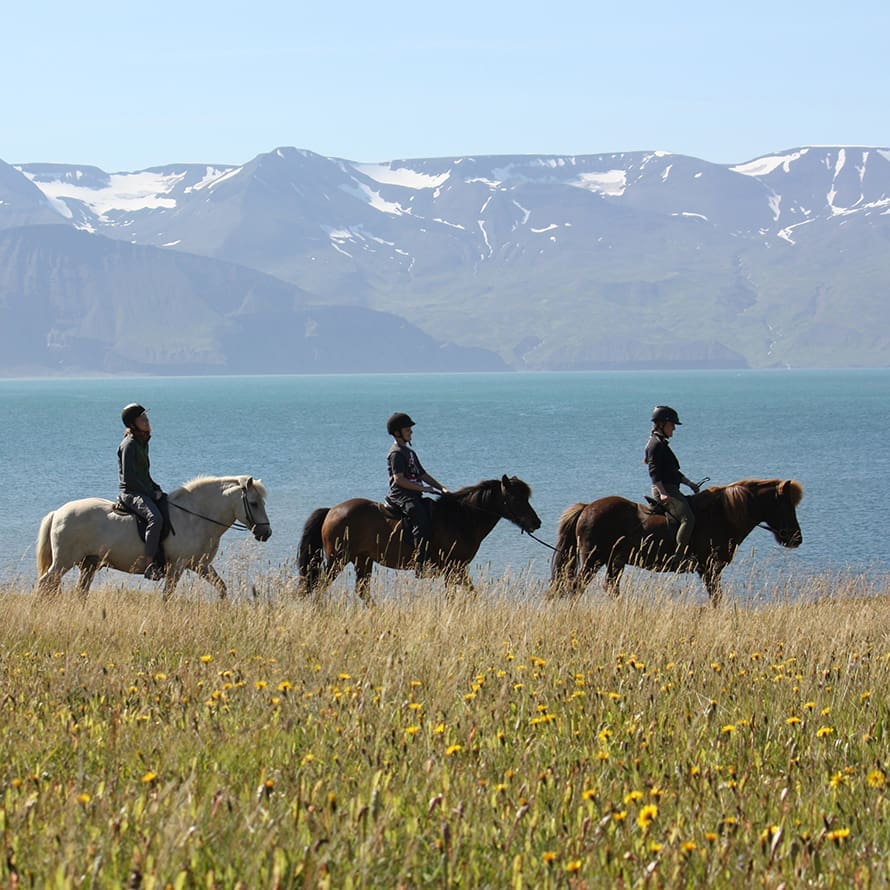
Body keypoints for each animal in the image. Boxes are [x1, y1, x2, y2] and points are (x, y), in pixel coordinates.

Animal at [35, 476, 272, 601]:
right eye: (253, 503)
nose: (266, 533)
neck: (194, 517)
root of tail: (57, 512)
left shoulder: (201, 565)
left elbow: (222, 588)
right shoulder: (177, 566)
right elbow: (167, 595)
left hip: (88, 564)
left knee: (78, 591)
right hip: (64, 562)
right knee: (45, 583)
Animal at [297, 475, 542, 603]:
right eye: (516, 498)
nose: (536, 522)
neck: (461, 518)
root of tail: (332, 510)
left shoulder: (457, 569)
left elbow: (470, 594)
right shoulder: (453, 568)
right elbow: (458, 595)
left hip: (362, 560)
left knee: (361, 591)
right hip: (339, 559)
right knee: (321, 584)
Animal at [547, 478, 803, 604]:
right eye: (785, 505)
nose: (796, 538)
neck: (721, 514)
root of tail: (586, 508)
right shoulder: (709, 569)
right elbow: (716, 597)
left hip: (614, 561)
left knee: (609, 587)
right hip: (594, 559)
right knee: (576, 587)